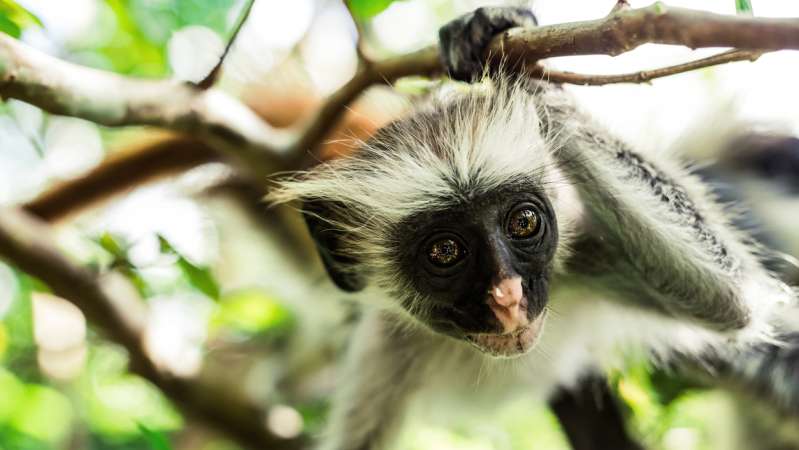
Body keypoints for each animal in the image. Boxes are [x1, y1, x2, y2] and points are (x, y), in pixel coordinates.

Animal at [268, 6, 795, 450]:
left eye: (523, 223)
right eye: (445, 251)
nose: (508, 295)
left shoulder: (578, 257)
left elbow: (729, 299)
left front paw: (506, 48)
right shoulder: (382, 346)